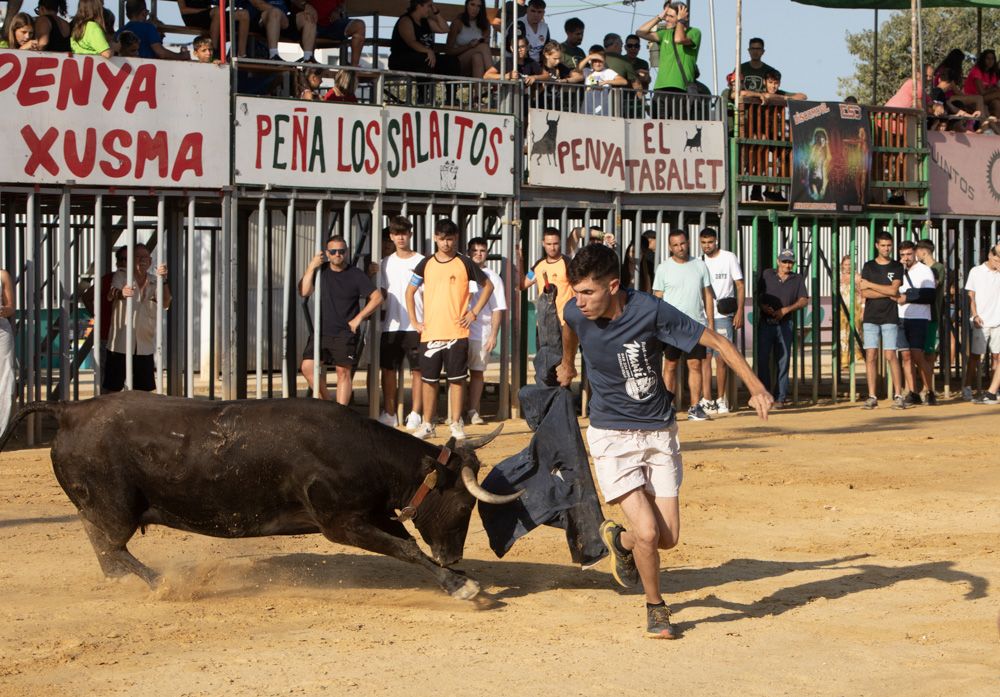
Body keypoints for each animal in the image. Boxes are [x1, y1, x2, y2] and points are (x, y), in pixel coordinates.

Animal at [0, 392, 528, 600]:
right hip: (113, 509)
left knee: (104, 547)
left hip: (102, 509)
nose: (455, 555)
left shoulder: (371, 513)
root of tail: (71, 409)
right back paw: (161, 584)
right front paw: (461, 586)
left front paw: (458, 577)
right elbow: (406, 548)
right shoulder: (341, 524)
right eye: (466, 502)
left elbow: (408, 544)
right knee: (112, 545)